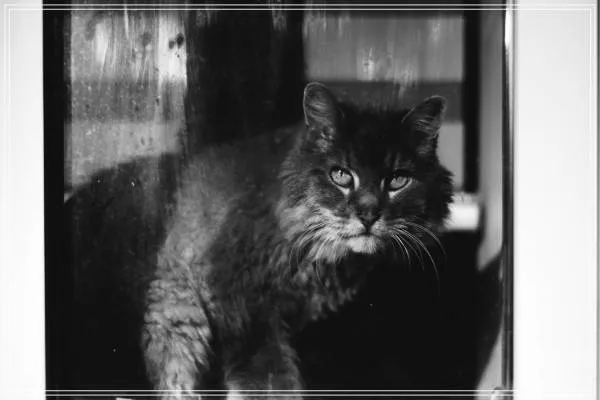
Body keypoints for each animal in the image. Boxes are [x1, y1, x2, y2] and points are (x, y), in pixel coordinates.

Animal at [141, 82, 453, 399]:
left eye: (397, 181)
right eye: (341, 175)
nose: (368, 214)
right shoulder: (242, 301)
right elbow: (267, 375)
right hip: (177, 309)